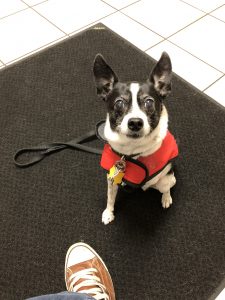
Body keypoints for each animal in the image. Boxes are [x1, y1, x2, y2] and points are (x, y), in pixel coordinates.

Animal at [93, 52, 178, 225]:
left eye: (149, 102)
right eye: (119, 103)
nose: (135, 122)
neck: (130, 152)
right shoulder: (111, 178)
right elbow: (110, 198)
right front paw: (109, 213)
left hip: (166, 179)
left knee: (166, 188)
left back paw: (166, 198)